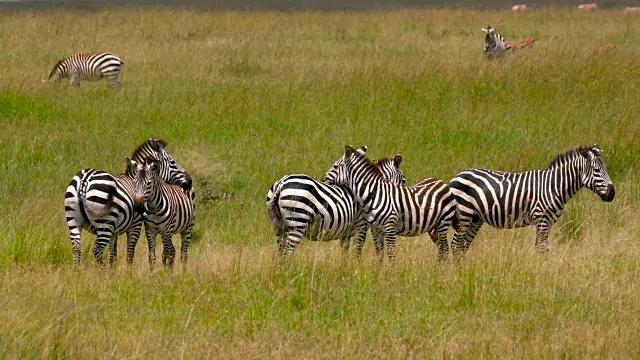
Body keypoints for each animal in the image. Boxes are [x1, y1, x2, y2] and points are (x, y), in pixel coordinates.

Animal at [67, 138, 195, 268]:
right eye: (172, 162)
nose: (190, 182)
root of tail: (85, 180)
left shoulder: (114, 231)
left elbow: (113, 255)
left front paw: (113, 271)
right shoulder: (135, 226)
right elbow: (130, 254)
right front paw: (128, 272)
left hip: (74, 220)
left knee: (76, 248)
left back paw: (78, 272)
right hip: (105, 224)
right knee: (97, 249)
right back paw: (103, 272)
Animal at [264, 146, 404, 256]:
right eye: (403, 180)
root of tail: (281, 184)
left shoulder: (346, 232)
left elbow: (344, 253)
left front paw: (345, 269)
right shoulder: (361, 226)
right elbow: (357, 252)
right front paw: (355, 269)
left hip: (278, 226)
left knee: (281, 252)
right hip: (298, 221)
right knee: (287, 253)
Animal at [320, 146, 456, 262]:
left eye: (335, 166)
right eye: (404, 180)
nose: (323, 180)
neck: (374, 194)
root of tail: (440, 182)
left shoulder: (388, 227)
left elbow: (390, 253)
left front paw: (391, 272)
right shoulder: (375, 229)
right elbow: (379, 253)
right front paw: (379, 273)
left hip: (443, 222)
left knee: (444, 248)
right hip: (434, 227)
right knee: (442, 248)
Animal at [448, 143, 616, 256]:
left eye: (606, 170)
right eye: (596, 170)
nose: (612, 194)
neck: (553, 186)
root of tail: (457, 175)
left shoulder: (547, 222)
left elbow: (540, 248)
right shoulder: (542, 220)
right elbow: (542, 249)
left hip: (475, 219)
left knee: (463, 246)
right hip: (464, 214)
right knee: (456, 244)